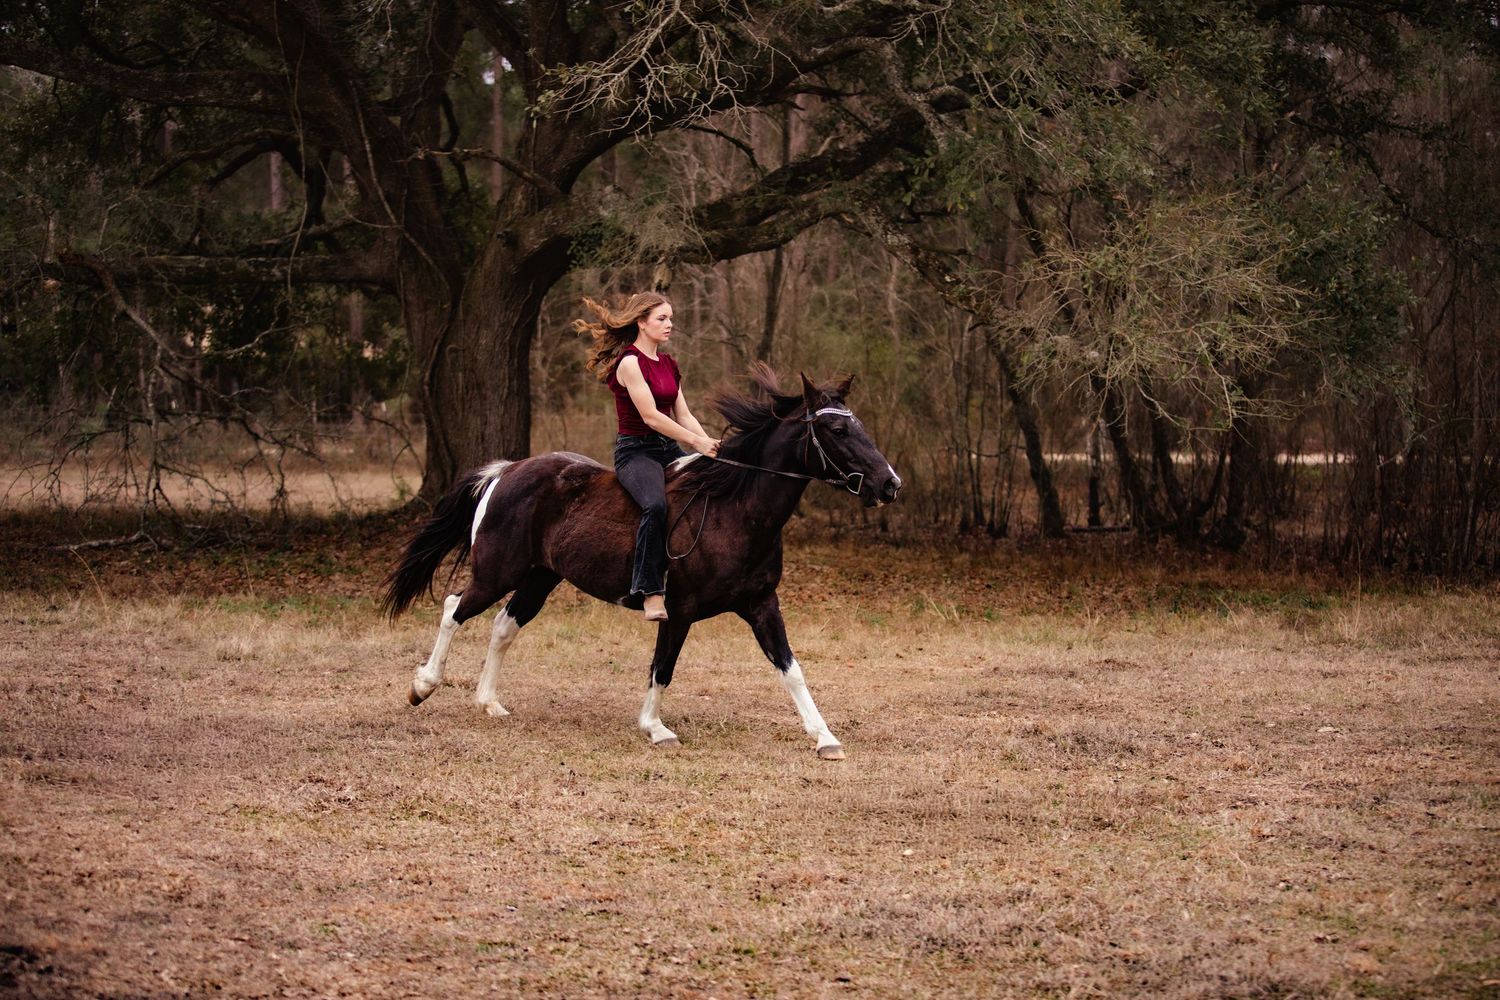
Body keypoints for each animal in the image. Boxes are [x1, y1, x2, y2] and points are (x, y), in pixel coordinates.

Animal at [382, 364, 902, 759]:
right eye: (837, 429)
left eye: (859, 426)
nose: (890, 484)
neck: (734, 509)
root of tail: (508, 469)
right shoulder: (678, 609)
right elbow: (663, 666)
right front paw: (655, 728)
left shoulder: (761, 605)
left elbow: (790, 668)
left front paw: (825, 738)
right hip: (496, 572)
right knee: (454, 608)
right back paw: (423, 685)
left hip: (539, 578)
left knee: (502, 627)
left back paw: (489, 703)